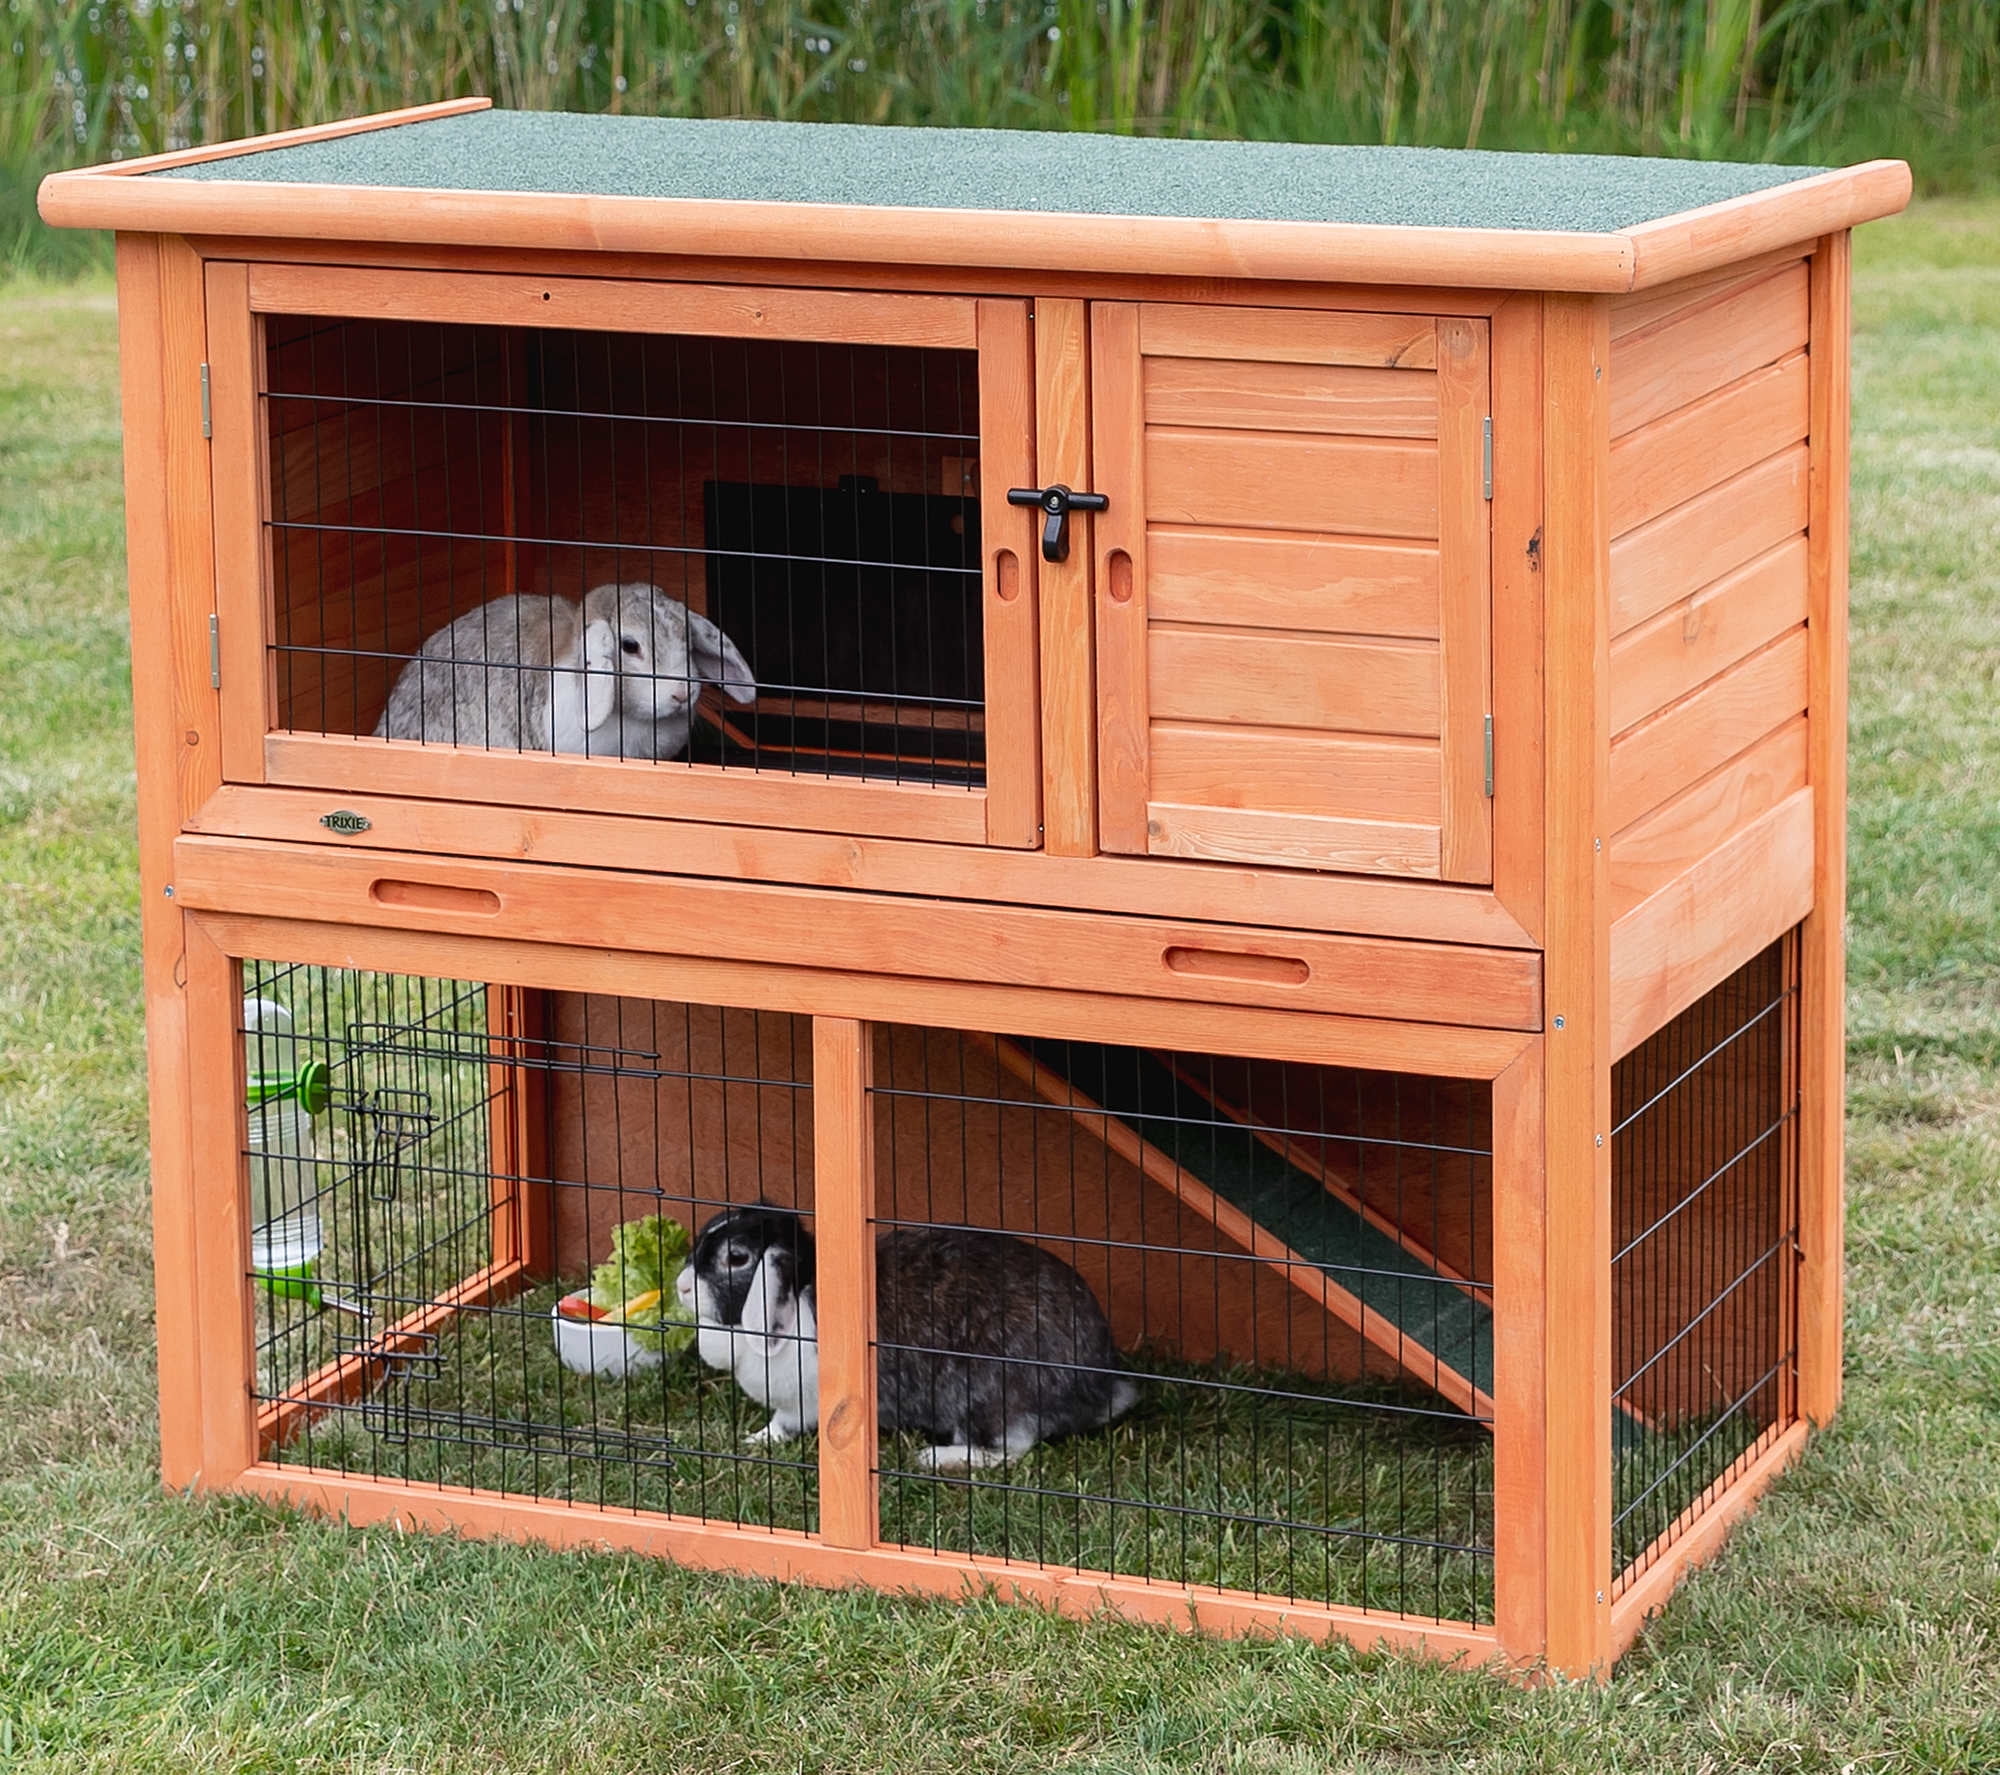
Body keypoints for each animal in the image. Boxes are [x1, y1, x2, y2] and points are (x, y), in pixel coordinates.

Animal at [675, 1203, 1140, 1471]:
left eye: (737, 1258)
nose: (681, 1287)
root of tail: (1097, 1388)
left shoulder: (803, 1403)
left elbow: (786, 1423)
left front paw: (756, 1441)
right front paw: (753, 1439)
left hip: (984, 1394)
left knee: (1007, 1448)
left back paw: (935, 1458)